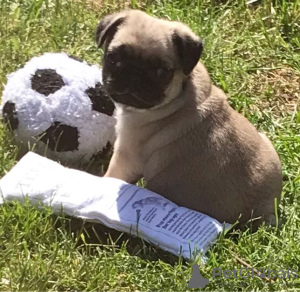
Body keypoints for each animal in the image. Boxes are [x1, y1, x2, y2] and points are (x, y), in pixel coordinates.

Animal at [96, 9, 282, 228]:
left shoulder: (127, 156)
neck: (181, 93)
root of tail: (265, 212)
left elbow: (111, 176)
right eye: (113, 58)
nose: (134, 75)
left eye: (162, 72)